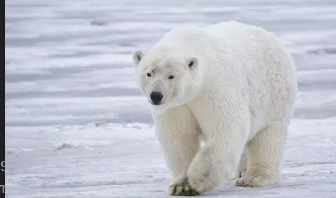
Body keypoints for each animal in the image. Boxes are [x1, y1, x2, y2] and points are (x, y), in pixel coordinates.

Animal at [133, 20, 298, 196]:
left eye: (171, 76)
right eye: (149, 73)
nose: (156, 95)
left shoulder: (215, 88)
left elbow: (226, 129)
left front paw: (197, 180)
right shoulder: (176, 107)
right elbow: (179, 138)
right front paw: (181, 186)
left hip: (275, 96)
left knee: (267, 137)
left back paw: (254, 178)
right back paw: (241, 172)